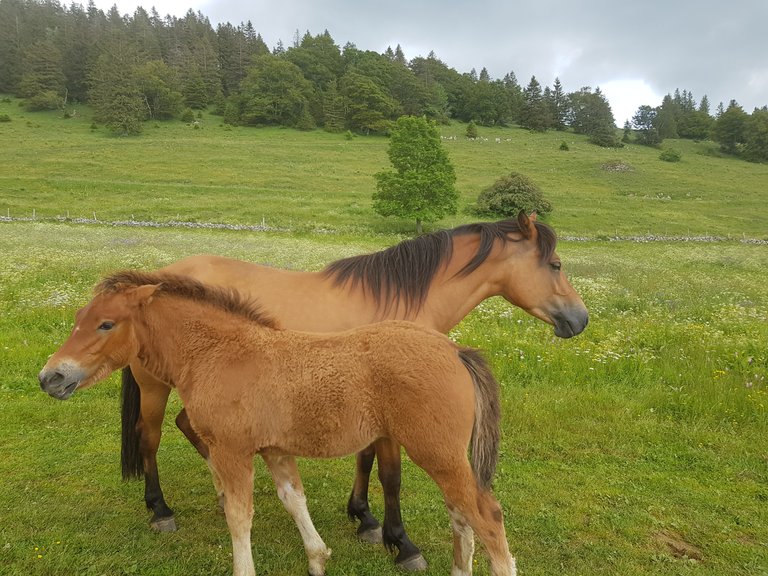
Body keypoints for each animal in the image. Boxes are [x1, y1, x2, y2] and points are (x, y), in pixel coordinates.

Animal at [42, 272, 520, 576]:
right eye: (79, 318)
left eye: (106, 323)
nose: (51, 377)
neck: (221, 352)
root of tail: (455, 351)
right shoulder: (274, 449)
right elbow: (294, 500)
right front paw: (318, 558)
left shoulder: (233, 451)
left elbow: (239, 516)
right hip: (445, 457)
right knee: (461, 514)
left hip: (437, 454)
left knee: (486, 516)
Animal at [120, 210, 588, 568]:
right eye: (556, 264)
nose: (579, 319)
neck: (401, 301)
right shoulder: (391, 423)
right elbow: (391, 476)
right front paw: (402, 543)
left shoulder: (371, 411)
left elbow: (365, 461)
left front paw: (364, 518)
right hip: (154, 388)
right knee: (150, 438)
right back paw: (160, 510)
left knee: (189, 428)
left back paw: (220, 493)